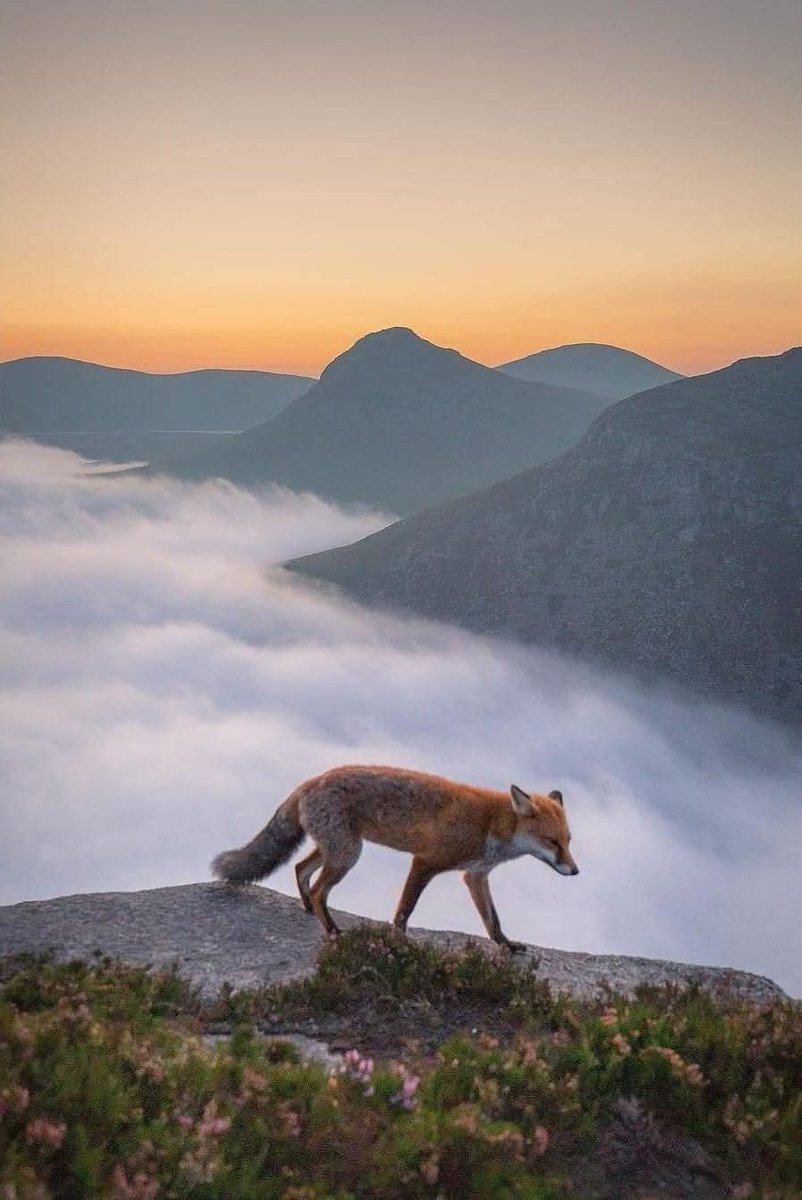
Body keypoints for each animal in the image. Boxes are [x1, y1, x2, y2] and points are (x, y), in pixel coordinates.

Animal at [212, 764, 579, 949]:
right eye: (552, 841)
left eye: (568, 841)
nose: (575, 871)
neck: (491, 825)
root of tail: (310, 780)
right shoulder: (426, 861)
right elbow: (405, 910)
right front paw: (400, 941)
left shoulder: (474, 875)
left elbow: (493, 920)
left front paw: (506, 944)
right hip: (348, 855)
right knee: (317, 889)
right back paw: (332, 931)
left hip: (338, 850)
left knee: (302, 870)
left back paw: (308, 911)